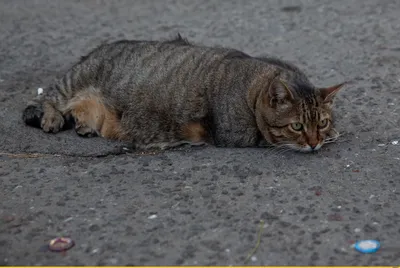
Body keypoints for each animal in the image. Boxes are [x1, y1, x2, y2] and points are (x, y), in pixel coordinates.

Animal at [21, 34, 344, 152]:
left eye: (321, 122)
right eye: (297, 126)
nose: (314, 142)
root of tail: (93, 51)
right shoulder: (234, 135)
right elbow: (267, 139)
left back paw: (85, 124)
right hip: (73, 81)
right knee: (42, 100)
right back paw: (52, 118)